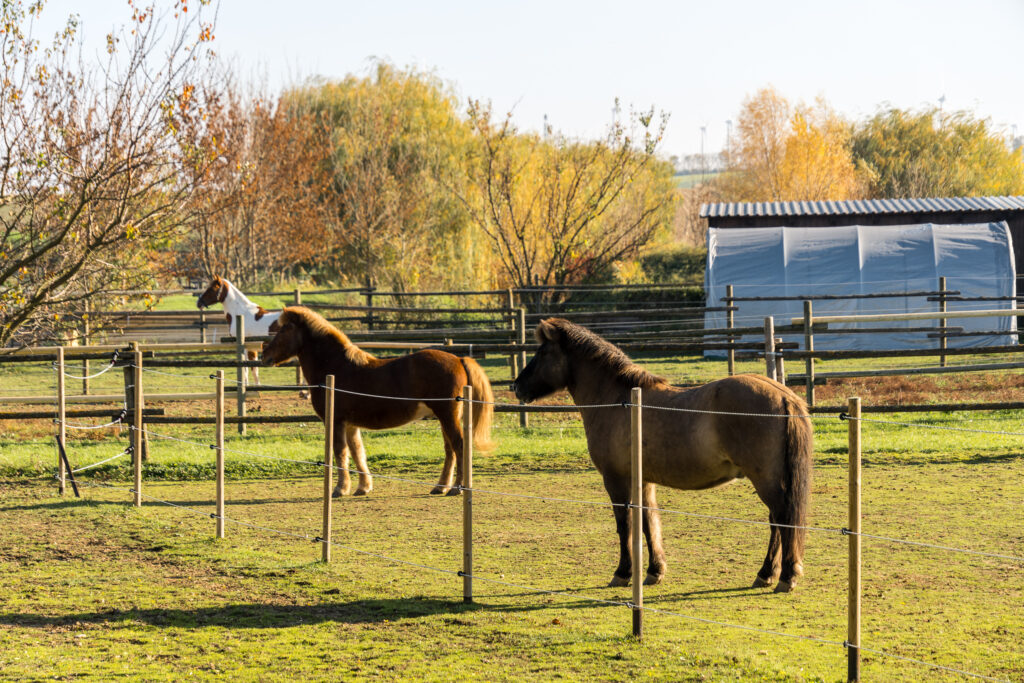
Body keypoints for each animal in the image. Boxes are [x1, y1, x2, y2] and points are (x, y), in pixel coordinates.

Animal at [264, 309, 495, 497]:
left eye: (284, 329)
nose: (264, 355)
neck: (336, 366)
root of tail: (459, 360)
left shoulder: (336, 422)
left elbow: (340, 453)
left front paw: (340, 489)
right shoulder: (351, 425)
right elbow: (358, 453)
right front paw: (363, 487)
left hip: (447, 416)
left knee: (459, 446)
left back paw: (457, 488)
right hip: (445, 417)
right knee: (450, 450)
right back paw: (441, 487)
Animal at [512, 321, 815, 593]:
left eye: (542, 353)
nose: (516, 386)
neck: (618, 400)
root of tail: (785, 397)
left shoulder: (616, 480)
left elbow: (625, 525)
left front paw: (623, 573)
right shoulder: (644, 481)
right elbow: (648, 523)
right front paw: (654, 571)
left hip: (766, 480)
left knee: (781, 518)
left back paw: (783, 576)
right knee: (778, 521)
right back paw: (767, 575)